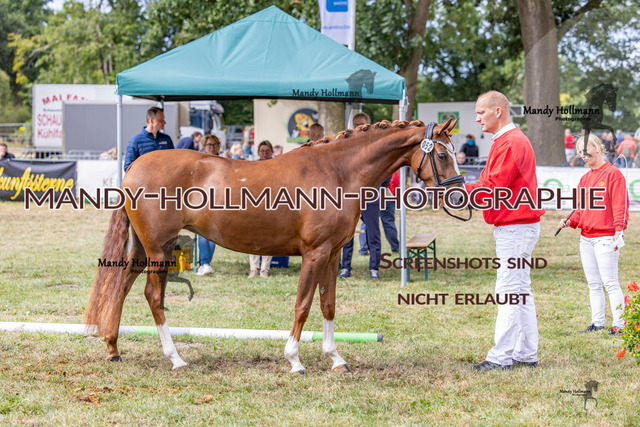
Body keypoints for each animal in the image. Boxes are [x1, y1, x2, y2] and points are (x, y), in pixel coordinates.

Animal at [84, 118, 462, 373]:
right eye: (442, 155)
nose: (458, 194)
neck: (337, 172)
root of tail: (135, 166)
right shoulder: (315, 253)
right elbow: (303, 305)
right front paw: (294, 360)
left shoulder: (332, 254)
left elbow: (328, 305)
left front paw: (336, 358)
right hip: (160, 250)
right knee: (153, 295)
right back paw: (176, 358)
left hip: (144, 248)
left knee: (121, 285)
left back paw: (113, 348)